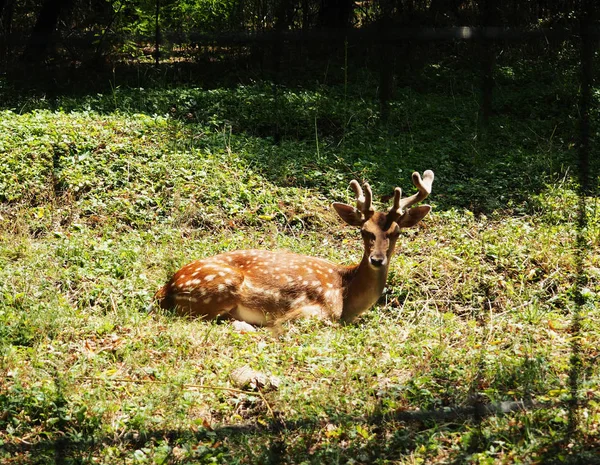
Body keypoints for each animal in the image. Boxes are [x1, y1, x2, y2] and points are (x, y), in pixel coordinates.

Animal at [154, 170, 436, 326]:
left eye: (396, 233)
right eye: (365, 231)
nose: (377, 259)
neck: (347, 296)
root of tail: (165, 289)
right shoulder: (315, 311)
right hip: (221, 287)